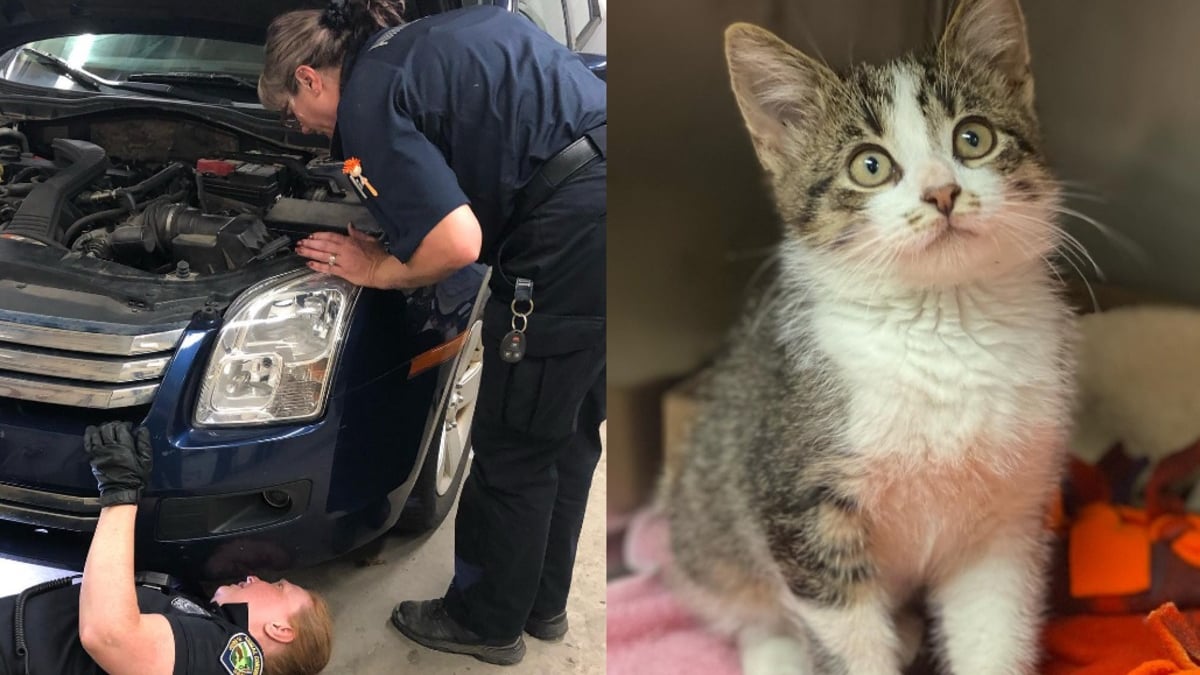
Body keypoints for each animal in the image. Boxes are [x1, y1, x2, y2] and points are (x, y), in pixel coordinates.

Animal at [667, 1, 1080, 672]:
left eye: (973, 138)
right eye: (869, 165)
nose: (943, 192)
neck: (943, 328)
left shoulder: (1006, 517)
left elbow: (992, 624)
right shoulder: (795, 504)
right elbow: (847, 633)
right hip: (705, 518)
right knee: (740, 600)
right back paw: (775, 650)